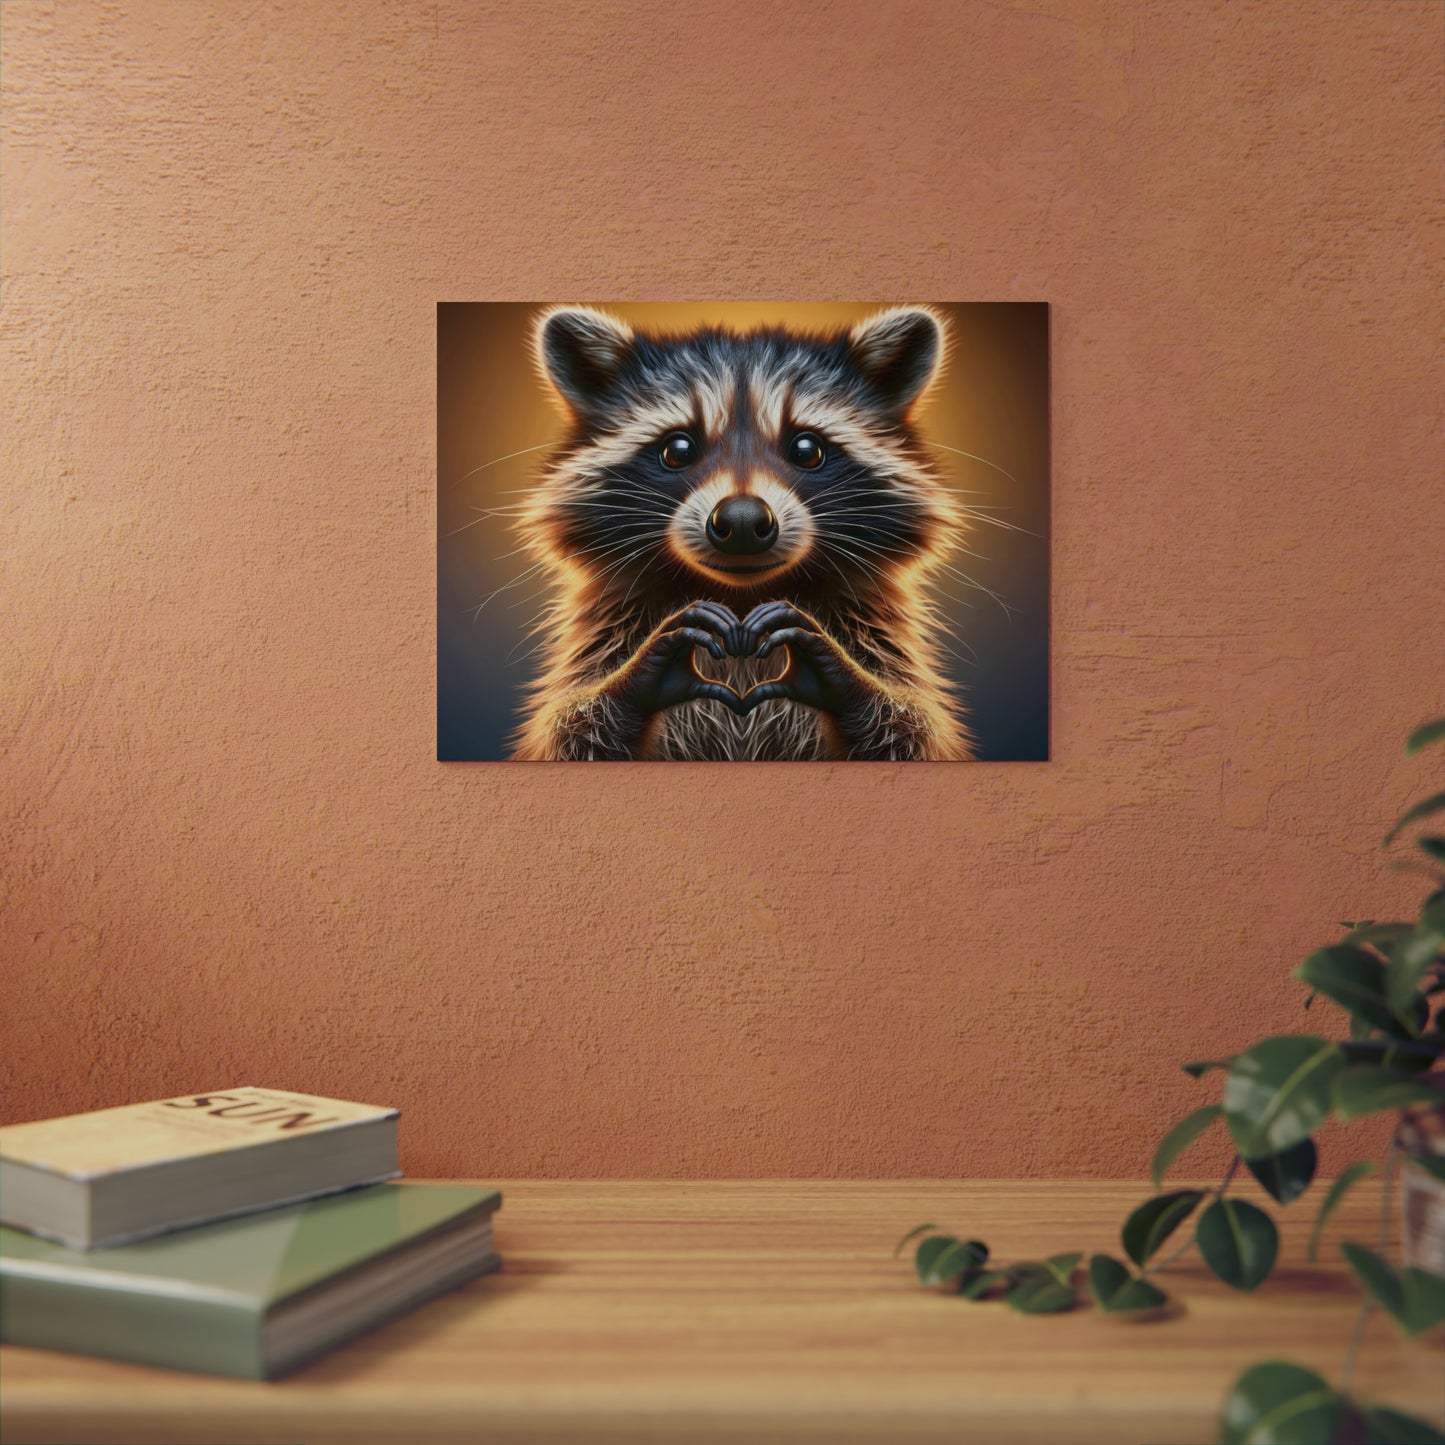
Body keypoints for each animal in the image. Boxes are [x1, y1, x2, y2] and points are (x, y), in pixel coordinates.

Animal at [509, 305, 973, 761]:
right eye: (677, 449)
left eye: (807, 449)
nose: (744, 522)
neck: (741, 598)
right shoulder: (607, 630)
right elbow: (572, 734)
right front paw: (637, 675)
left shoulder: (874, 630)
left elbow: (910, 733)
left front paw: (843, 675)